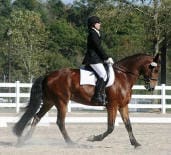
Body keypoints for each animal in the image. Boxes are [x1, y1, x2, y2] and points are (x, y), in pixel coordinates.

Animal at [13, 53, 160, 148]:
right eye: (155, 69)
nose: (151, 87)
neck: (123, 76)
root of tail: (48, 75)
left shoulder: (123, 106)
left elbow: (128, 125)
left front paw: (135, 143)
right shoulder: (112, 105)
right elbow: (111, 127)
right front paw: (93, 138)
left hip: (50, 102)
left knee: (37, 117)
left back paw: (25, 140)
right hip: (61, 102)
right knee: (60, 122)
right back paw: (71, 143)